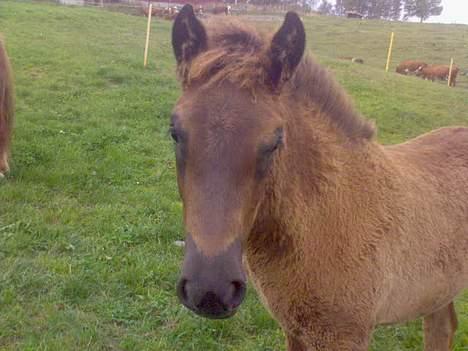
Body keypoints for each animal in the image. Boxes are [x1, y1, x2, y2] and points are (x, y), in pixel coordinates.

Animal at [170, 6, 468, 351]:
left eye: (275, 140)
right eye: (174, 131)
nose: (209, 290)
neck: (331, 217)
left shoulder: (346, 336)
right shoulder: (295, 330)